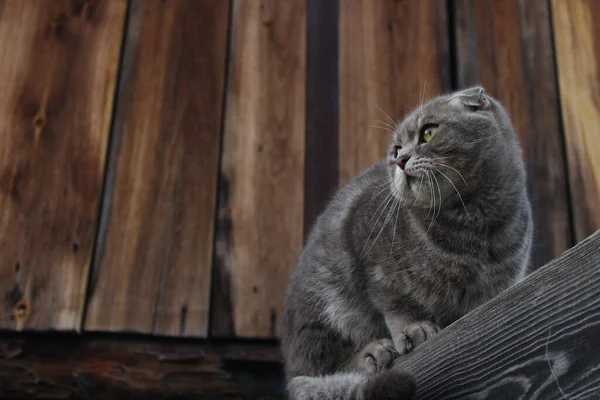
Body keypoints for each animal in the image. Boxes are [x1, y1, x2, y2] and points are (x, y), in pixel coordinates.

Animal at [282, 88, 536, 400]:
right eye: (396, 150)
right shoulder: (372, 258)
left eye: (428, 133)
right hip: (322, 309)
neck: (474, 225)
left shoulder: (499, 286)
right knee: (314, 368)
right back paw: (373, 352)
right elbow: (398, 303)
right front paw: (413, 329)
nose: (401, 159)